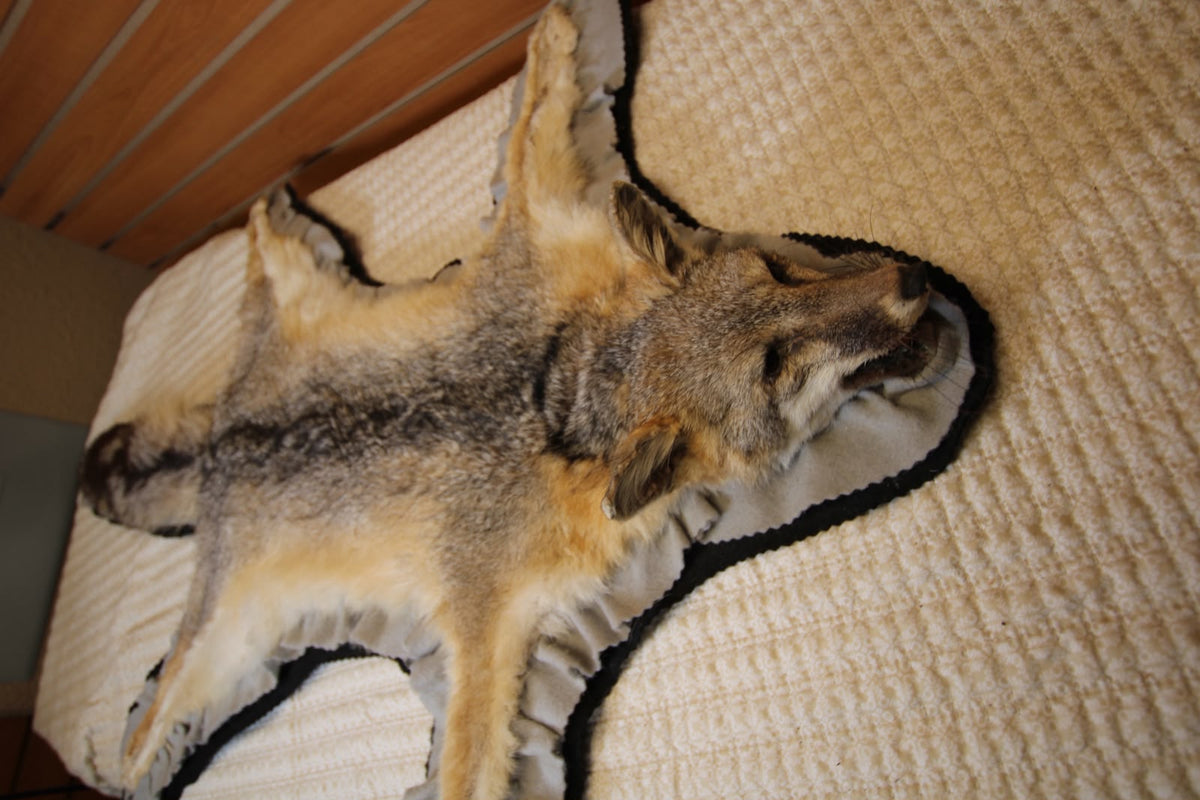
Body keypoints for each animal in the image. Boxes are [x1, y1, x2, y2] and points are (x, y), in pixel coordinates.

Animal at [80, 3, 941, 799]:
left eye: (781, 273)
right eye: (773, 366)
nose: (912, 279)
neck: (556, 393)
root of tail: (222, 446)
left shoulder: (539, 217)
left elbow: (538, 91)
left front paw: (554, 26)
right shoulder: (482, 620)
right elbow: (477, 763)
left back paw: (263, 211)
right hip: (230, 629)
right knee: (157, 715)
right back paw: (127, 759)